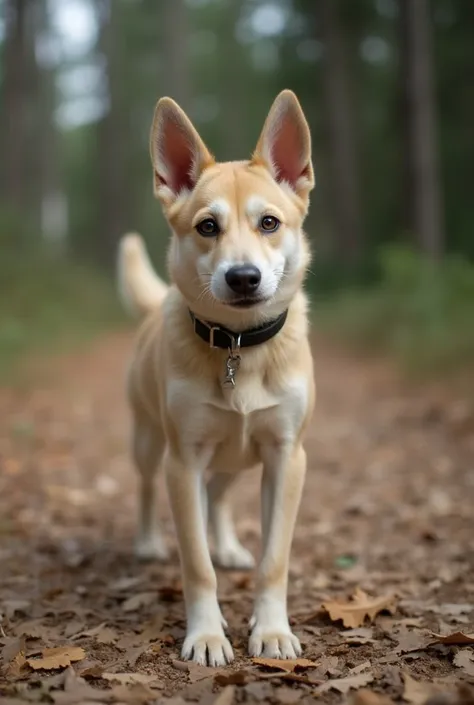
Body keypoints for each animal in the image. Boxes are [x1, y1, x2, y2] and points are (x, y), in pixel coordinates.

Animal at [118, 89, 314, 664]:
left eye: (269, 223)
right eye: (208, 226)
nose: (243, 277)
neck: (238, 347)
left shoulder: (286, 458)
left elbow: (274, 560)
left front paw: (271, 630)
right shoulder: (182, 463)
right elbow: (196, 566)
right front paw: (206, 635)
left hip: (237, 457)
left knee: (220, 497)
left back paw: (225, 543)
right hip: (149, 442)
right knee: (147, 488)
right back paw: (148, 542)